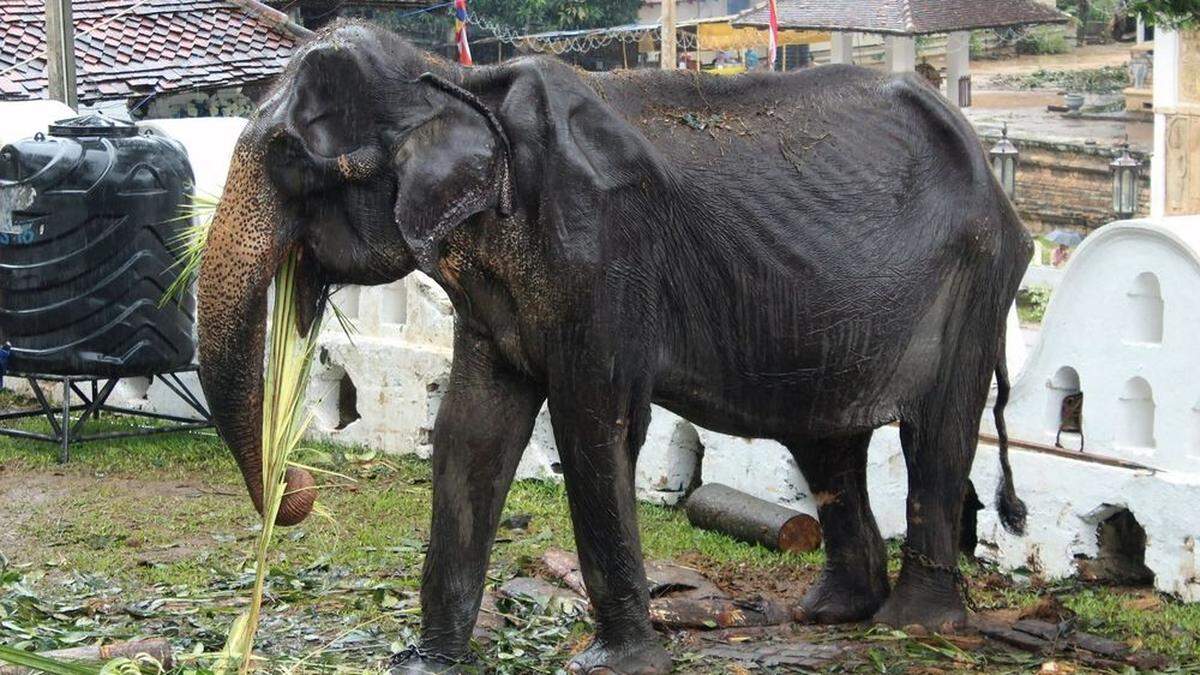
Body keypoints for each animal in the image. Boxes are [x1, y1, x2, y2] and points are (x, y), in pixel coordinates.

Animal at [194, 21, 1032, 672]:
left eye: (290, 158)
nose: (299, 483)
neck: (457, 83)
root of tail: (999, 186)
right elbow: (470, 430)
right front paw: (424, 661)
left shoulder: (604, 251)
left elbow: (595, 423)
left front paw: (613, 661)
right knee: (826, 443)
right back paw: (830, 613)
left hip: (975, 280)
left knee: (935, 435)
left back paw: (912, 625)